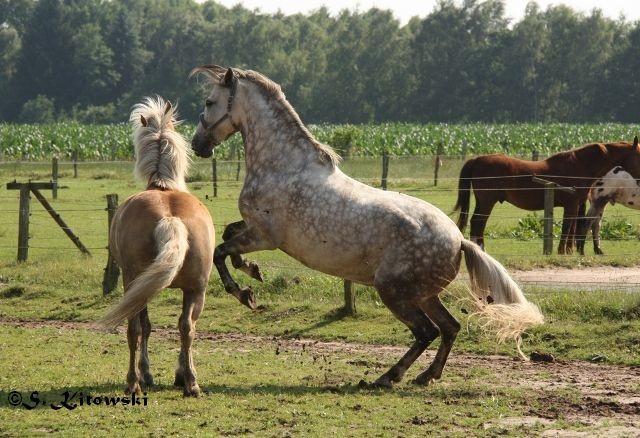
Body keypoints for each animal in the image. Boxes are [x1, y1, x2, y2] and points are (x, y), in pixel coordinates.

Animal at [191, 65, 544, 386]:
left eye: (209, 101)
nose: (197, 144)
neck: (282, 166)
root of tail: (458, 241)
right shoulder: (252, 229)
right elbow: (228, 236)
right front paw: (252, 272)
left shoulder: (265, 236)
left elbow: (220, 252)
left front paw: (244, 293)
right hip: (422, 294)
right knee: (449, 327)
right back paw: (427, 376)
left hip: (393, 291)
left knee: (426, 332)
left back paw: (387, 377)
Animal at [450, 139, 640, 255]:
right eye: (638, 155)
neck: (579, 165)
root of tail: (477, 159)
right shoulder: (571, 205)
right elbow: (567, 228)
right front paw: (562, 252)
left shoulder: (577, 205)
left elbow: (572, 228)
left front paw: (568, 252)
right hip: (487, 202)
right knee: (478, 222)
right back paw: (480, 250)